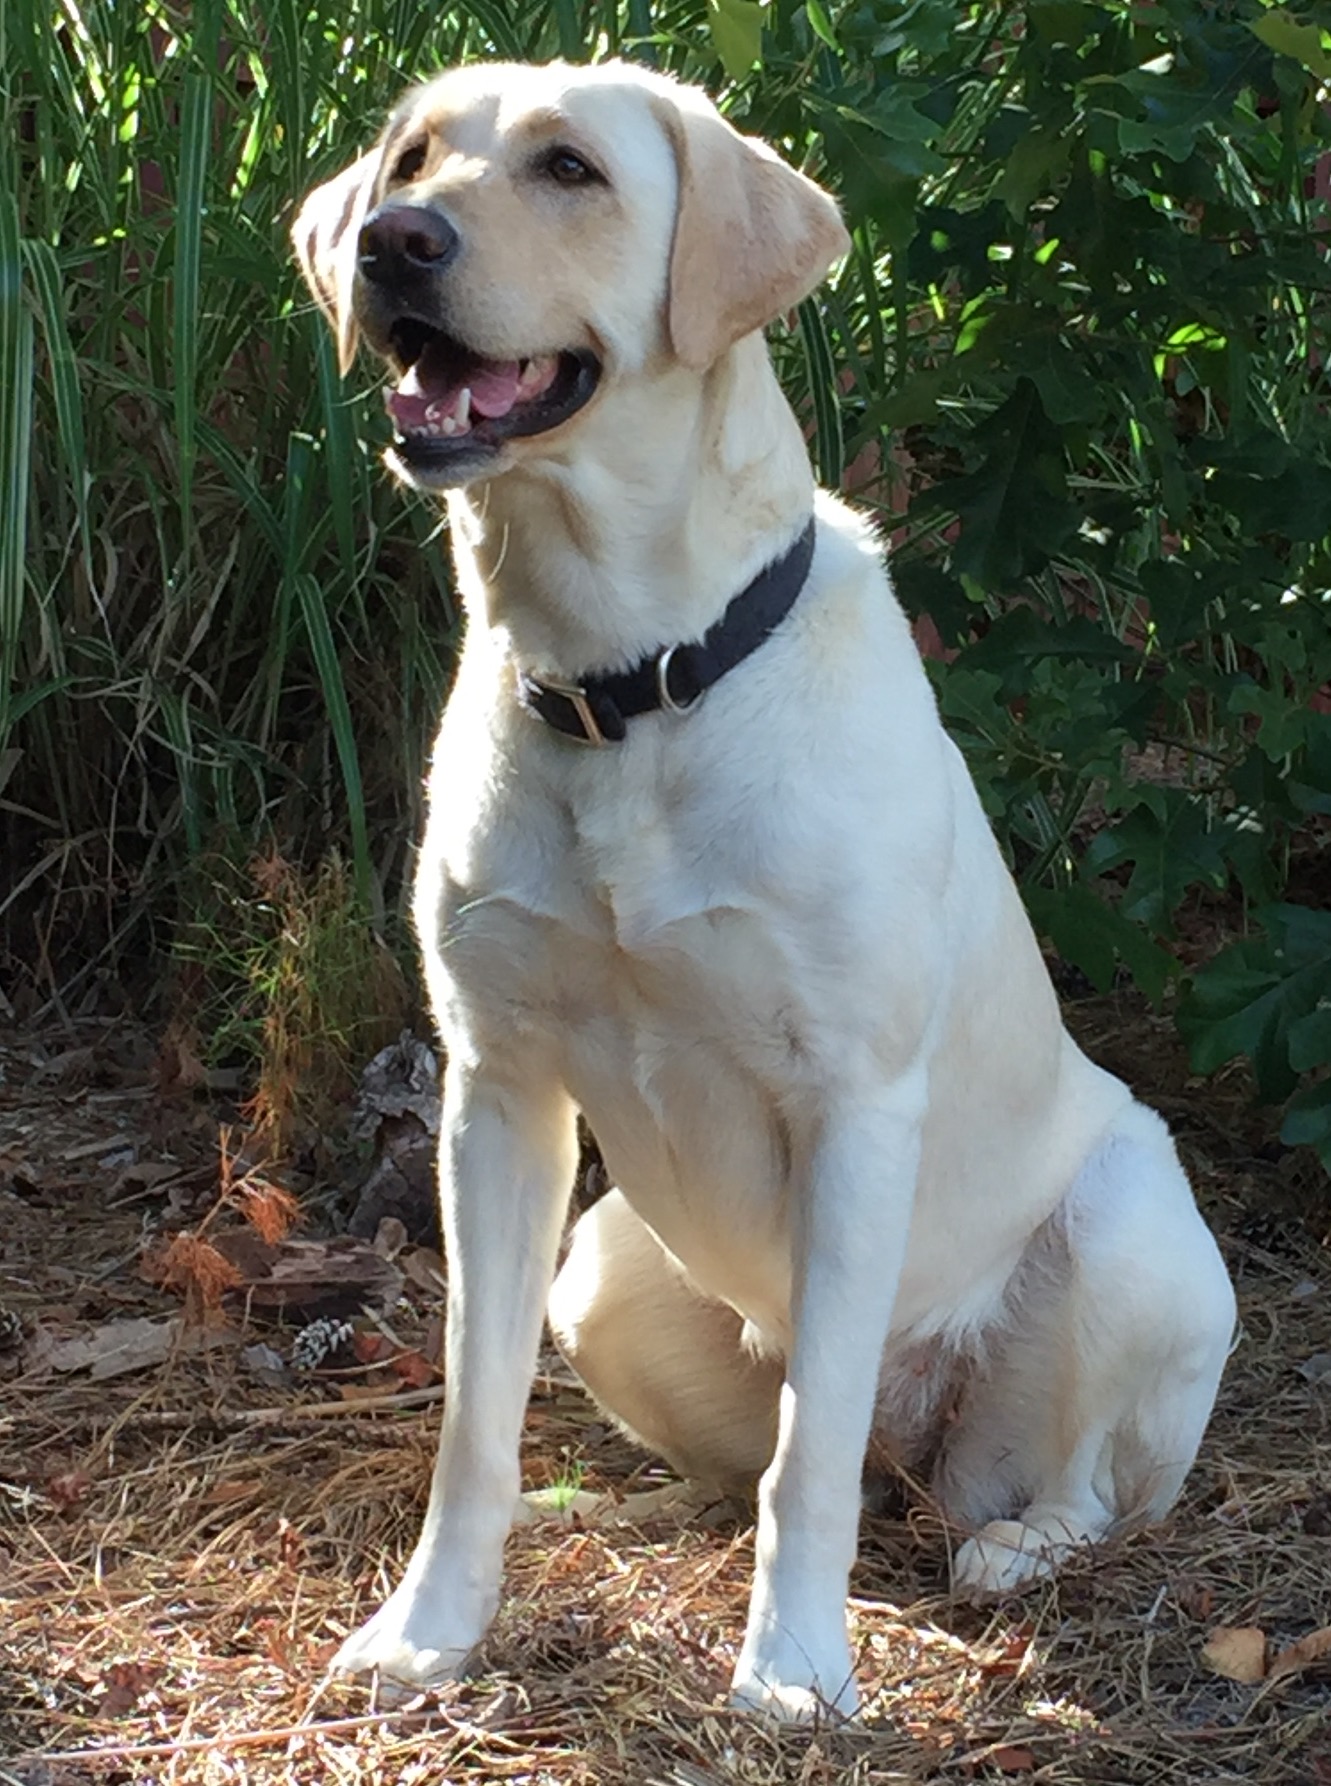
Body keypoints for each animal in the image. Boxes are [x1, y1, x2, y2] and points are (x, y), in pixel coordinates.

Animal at [292, 62, 1236, 1721]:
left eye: (569, 168)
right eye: (409, 160)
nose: (395, 243)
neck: (624, 681)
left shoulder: (849, 1102)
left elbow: (815, 1463)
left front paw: (792, 1666)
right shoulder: (495, 1090)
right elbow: (474, 1422)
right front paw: (426, 1631)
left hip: (1131, 1231)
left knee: (1047, 1480)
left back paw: (1011, 1546)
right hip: (601, 1268)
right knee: (774, 1459)